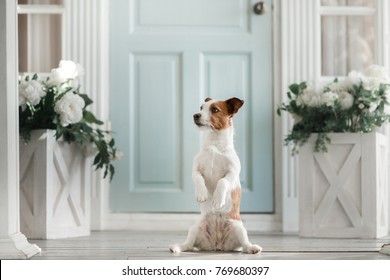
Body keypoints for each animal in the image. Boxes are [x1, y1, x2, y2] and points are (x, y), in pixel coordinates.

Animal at [168, 97, 262, 255]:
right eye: (201, 107)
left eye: (215, 110)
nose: (195, 115)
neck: (214, 145)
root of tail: (217, 245)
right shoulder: (196, 170)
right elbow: (199, 179)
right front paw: (202, 194)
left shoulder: (232, 173)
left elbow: (222, 181)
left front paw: (218, 199)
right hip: (195, 227)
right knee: (188, 245)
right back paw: (176, 247)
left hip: (239, 228)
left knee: (244, 245)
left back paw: (253, 248)